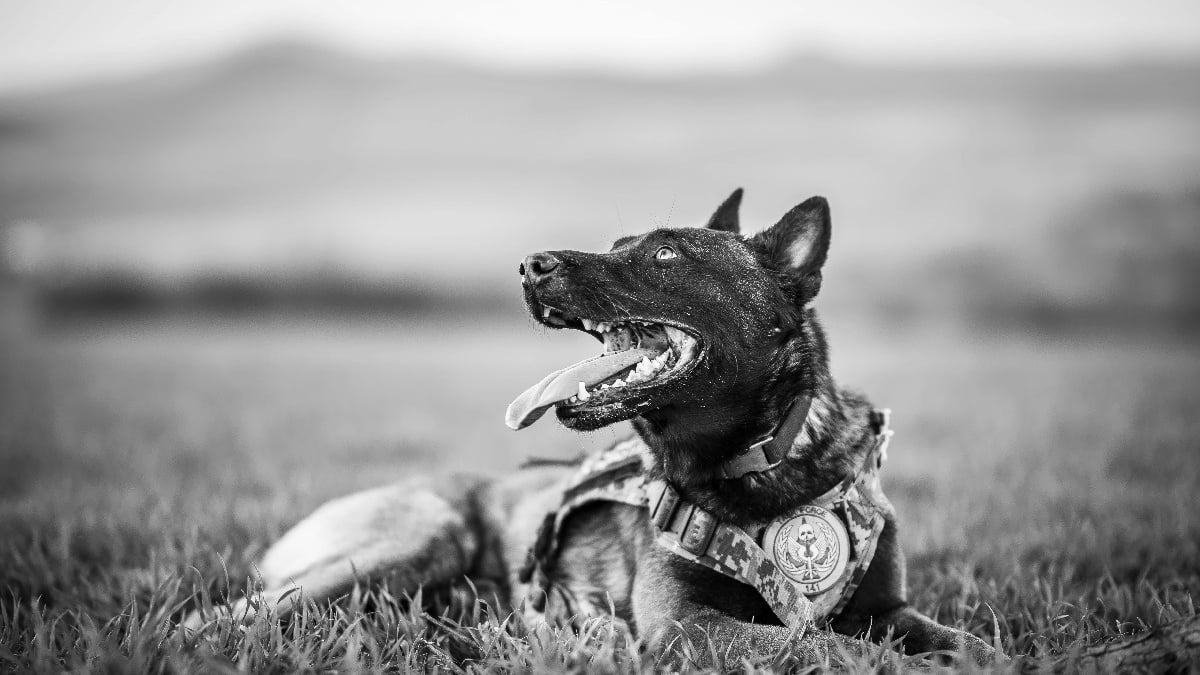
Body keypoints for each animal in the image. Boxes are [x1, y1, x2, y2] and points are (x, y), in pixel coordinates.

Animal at [184, 189, 993, 667]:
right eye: (619, 241)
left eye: (665, 252)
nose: (529, 265)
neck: (765, 467)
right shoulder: (687, 625)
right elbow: (828, 647)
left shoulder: (891, 608)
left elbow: (960, 638)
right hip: (414, 538)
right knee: (230, 614)